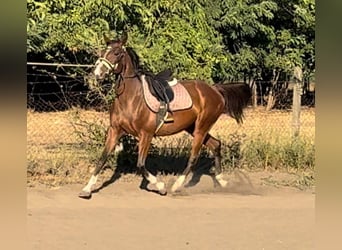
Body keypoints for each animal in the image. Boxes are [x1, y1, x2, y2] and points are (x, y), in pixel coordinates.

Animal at [79, 33, 251, 198]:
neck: (131, 98)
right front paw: (86, 189)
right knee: (216, 145)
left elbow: (141, 164)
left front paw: (161, 186)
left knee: (193, 157)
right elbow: (102, 158)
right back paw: (222, 181)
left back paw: (176, 186)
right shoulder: (115, 130)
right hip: (193, 127)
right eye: (102, 52)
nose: (97, 73)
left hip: (201, 128)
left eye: (116, 53)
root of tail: (215, 90)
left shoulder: (146, 134)